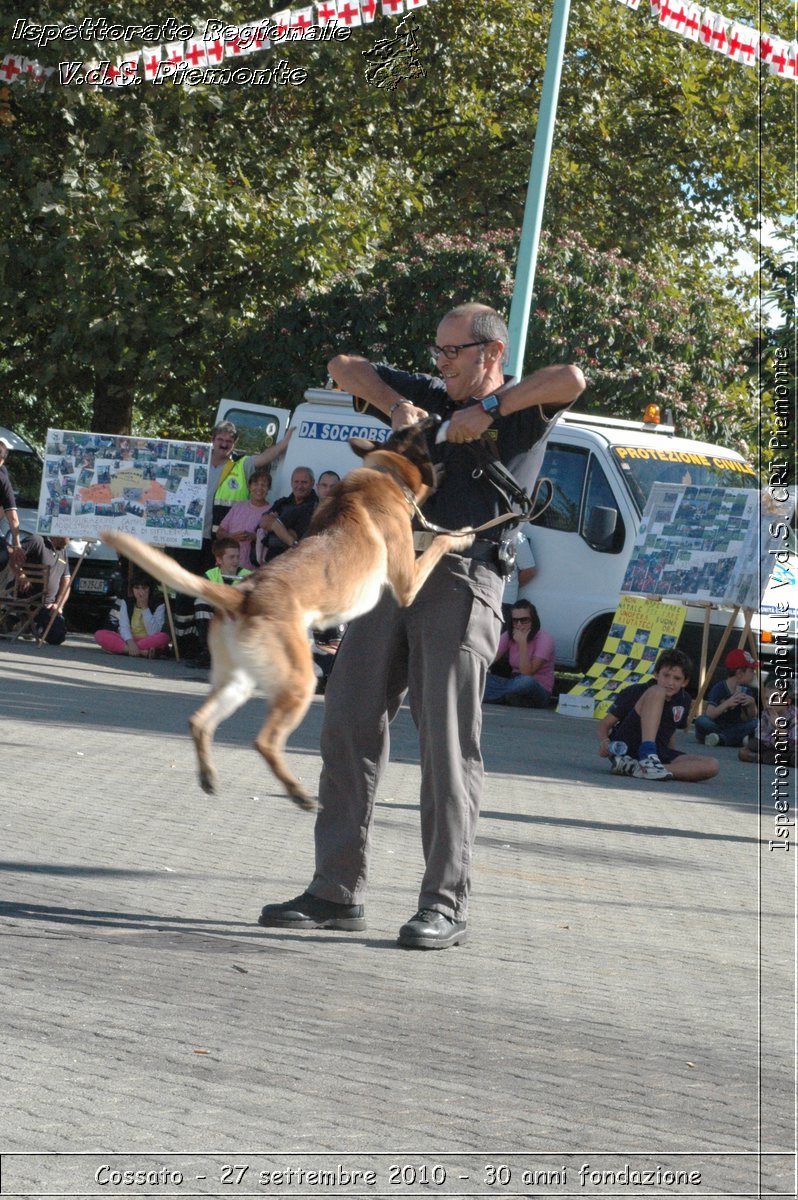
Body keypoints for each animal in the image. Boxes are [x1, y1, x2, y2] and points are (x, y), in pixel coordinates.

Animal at [102, 417, 470, 811]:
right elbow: (439, 541)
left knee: (199, 721)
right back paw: (298, 792)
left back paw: (209, 776)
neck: (386, 471)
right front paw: (463, 534)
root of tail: (243, 594)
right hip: (299, 682)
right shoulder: (408, 581)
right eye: (415, 426)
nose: (435, 416)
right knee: (263, 742)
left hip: (239, 682)